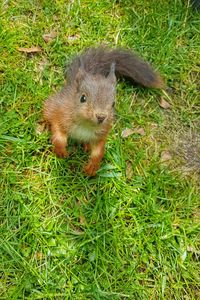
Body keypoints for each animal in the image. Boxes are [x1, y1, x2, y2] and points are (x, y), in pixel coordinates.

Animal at [43, 46, 164, 176]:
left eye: (113, 103)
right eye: (83, 98)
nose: (101, 116)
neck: (86, 124)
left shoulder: (101, 133)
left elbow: (99, 150)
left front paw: (92, 167)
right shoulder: (61, 114)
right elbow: (58, 132)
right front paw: (61, 151)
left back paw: (86, 146)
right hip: (51, 105)